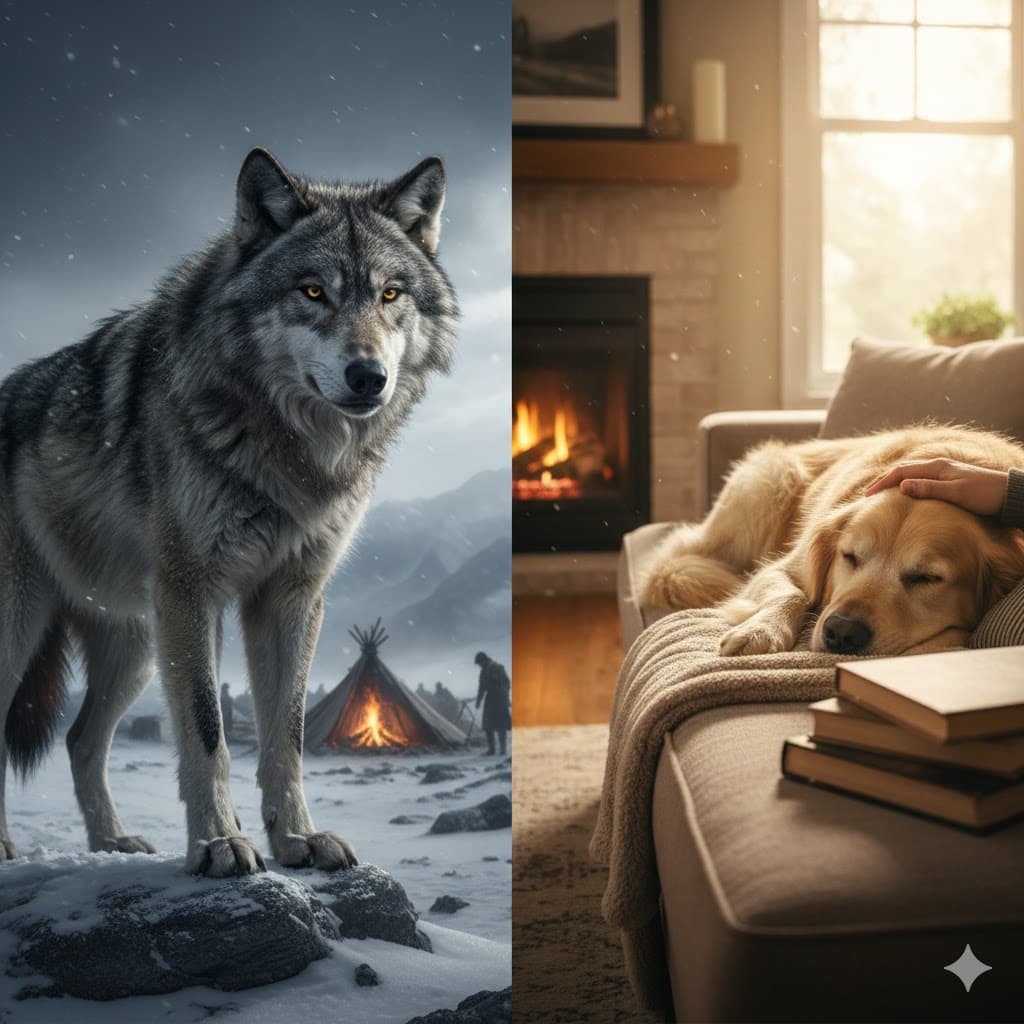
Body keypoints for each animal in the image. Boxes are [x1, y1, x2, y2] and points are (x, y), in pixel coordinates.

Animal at [0, 147, 457, 875]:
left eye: (391, 294)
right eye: (312, 292)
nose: (368, 378)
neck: (290, 452)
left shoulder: (290, 597)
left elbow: (287, 734)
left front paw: (297, 839)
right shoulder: (193, 592)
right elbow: (207, 730)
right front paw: (218, 843)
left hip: (136, 645)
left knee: (80, 741)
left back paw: (112, 843)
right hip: (31, 631)